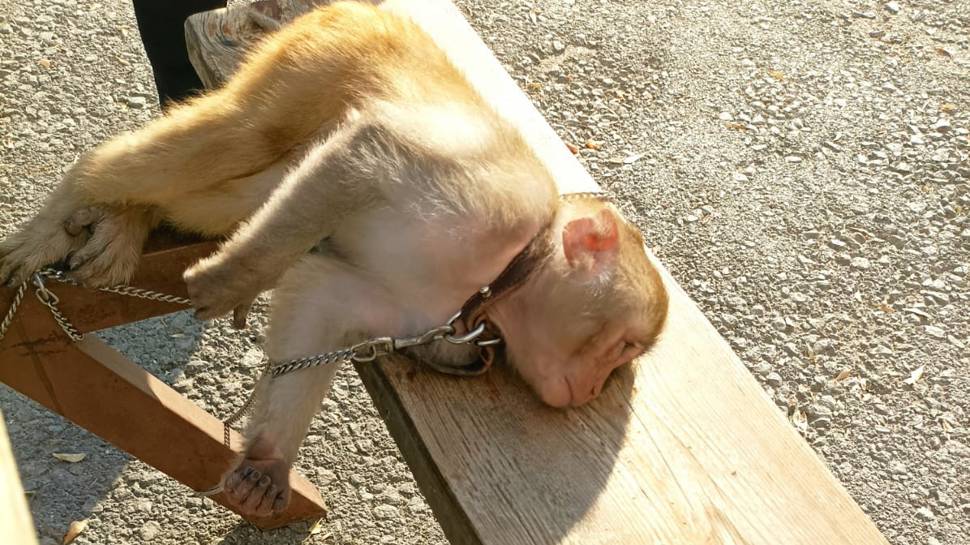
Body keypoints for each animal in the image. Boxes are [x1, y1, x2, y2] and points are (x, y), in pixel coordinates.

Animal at [0, 1, 664, 520]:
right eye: (623, 347)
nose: (592, 387)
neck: (494, 279)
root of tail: (361, 10)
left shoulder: (407, 308)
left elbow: (320, 308)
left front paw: (268, 464)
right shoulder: (493, 203)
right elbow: (368, 153)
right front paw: (228, 281)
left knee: (236, 189)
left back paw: (124, 219)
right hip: (320, 61)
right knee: (236, 139)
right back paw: (65, 210)